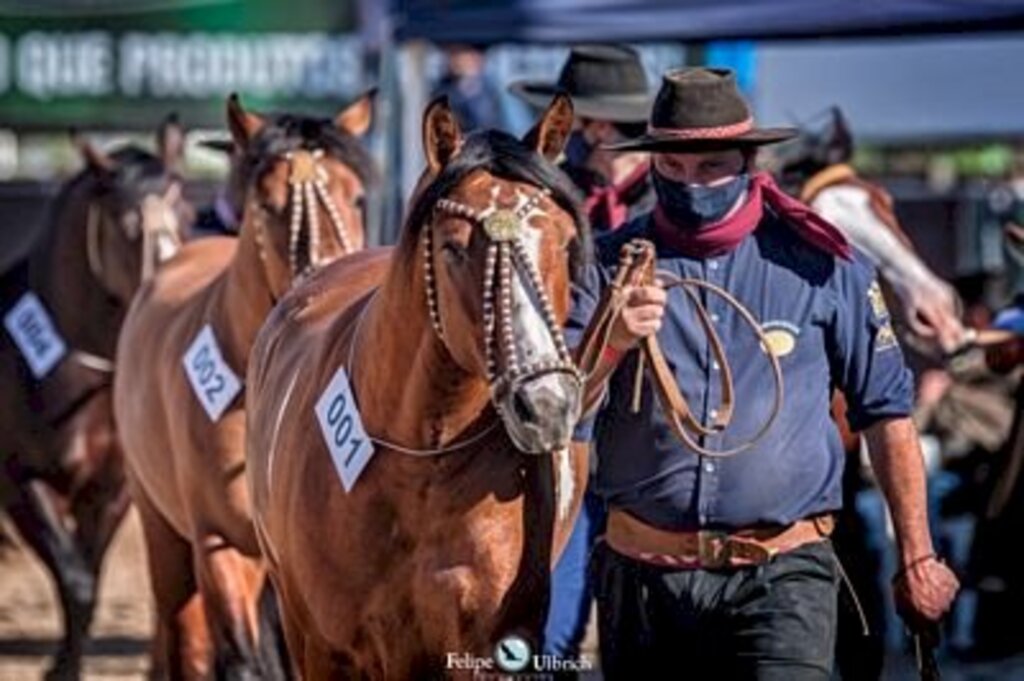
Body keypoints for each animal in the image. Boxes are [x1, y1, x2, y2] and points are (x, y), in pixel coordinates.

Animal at [0, 119, 190, 675]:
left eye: (188, 214)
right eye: (127, 224)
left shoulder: (109, 491)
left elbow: (89, 580)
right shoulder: (21, 484)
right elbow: (76, 581)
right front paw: (60, 669)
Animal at [114, 91, 376, 679]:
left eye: (358, 197)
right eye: (267, 203)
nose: (330, 280)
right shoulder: (218, 546)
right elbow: (238, 656)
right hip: (162, 529)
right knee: (184, 637)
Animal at [242, 93, 589, 675]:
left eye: (564, 244)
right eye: (452, 249)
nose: (545, 404)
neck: (421, 470)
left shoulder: (487, 647)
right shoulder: (326, 648)